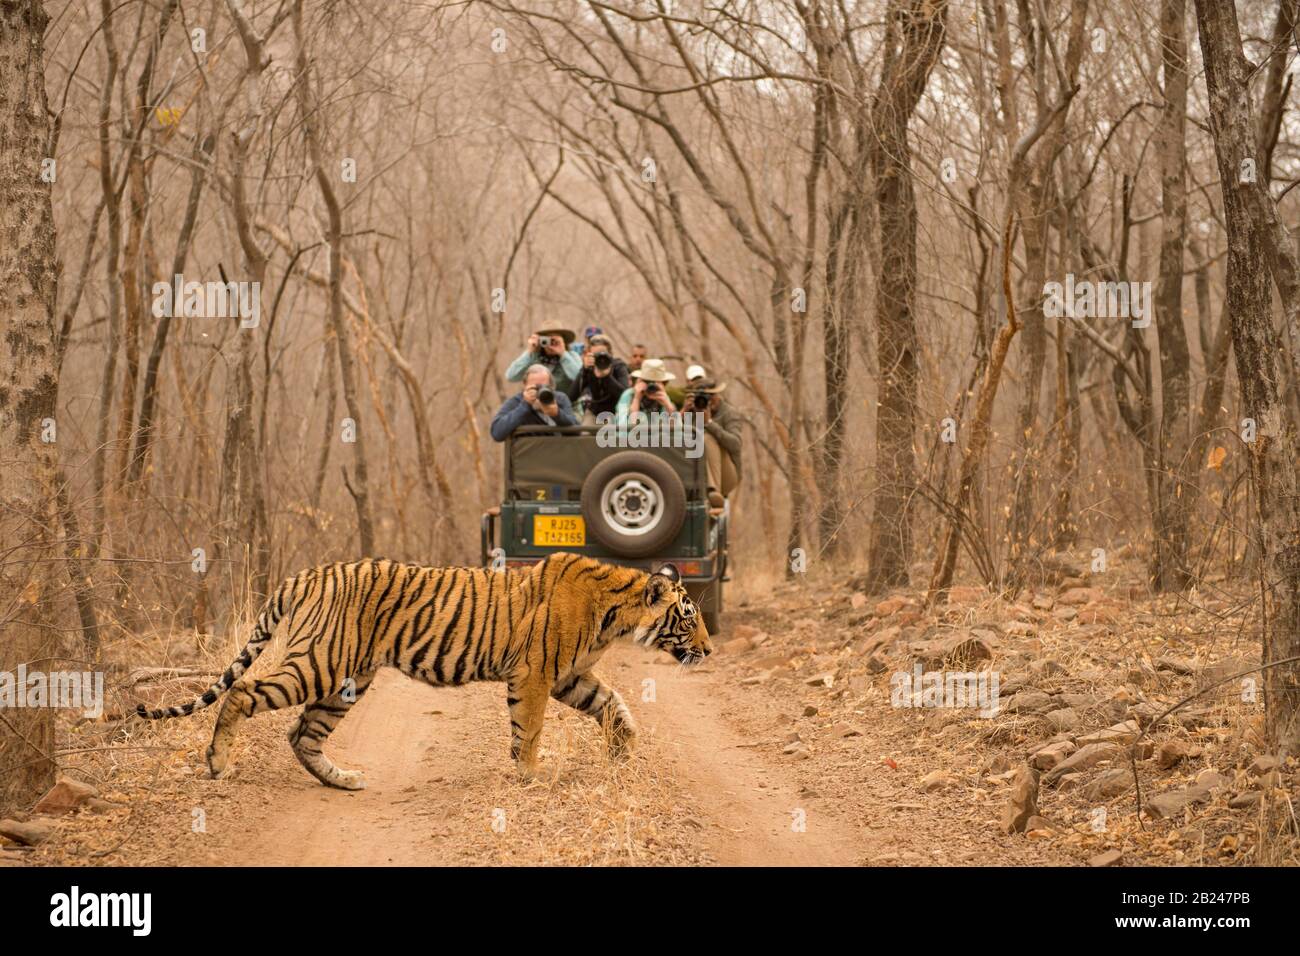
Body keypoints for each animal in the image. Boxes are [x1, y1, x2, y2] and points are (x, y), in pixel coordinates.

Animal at [131, 554, 712, 790]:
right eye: (689, 617)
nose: (708, 650)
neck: (617, 614)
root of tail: (302, 576)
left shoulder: (570, 676)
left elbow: (614, 706)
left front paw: (623, 752)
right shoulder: (535, 675)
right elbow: (528, 731)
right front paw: (530, 776)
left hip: (346, 682)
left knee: (302, 733)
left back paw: (343, 781)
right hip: (319, 664)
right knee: (244, 693)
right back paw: (217, 763)